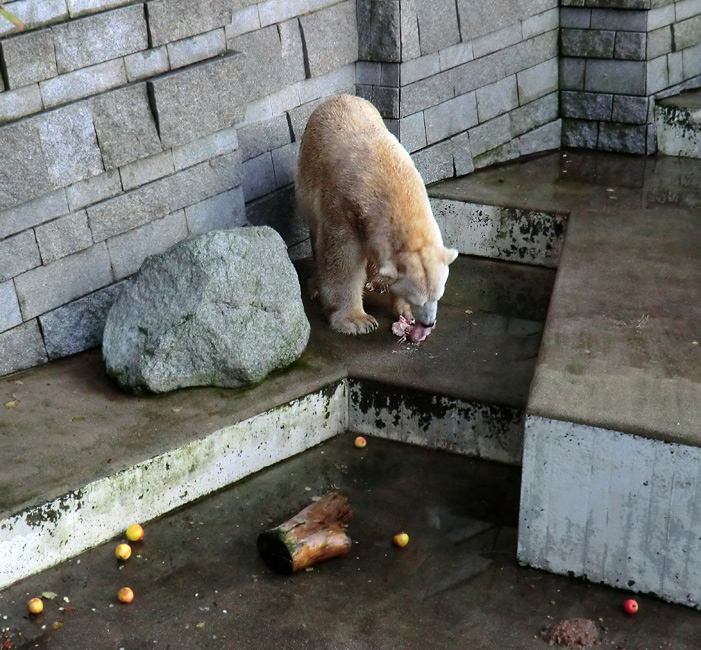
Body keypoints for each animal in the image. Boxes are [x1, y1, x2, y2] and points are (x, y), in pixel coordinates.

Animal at [296, 96, 460, 342]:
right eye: (418, 299)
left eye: (438, 295)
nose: (428, 323)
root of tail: (339, 97)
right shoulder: (342, 206)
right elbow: (341, 259)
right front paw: (357, 321)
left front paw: (403, 310)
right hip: (308, 176)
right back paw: (316, 286)